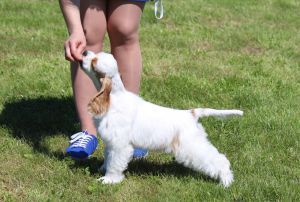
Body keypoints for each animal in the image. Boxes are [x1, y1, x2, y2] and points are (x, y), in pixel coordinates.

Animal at [80, 51, 244, 188]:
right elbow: (108, 157)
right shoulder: (111, 143)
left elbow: (114, 163)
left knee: (220, 160)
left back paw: (225, 182)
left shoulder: (119, 145)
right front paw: (102, 168)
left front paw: (109, 179)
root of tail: (191, 114)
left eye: (94, 61)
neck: (114, 98)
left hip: (191, 146)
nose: (84, 52)